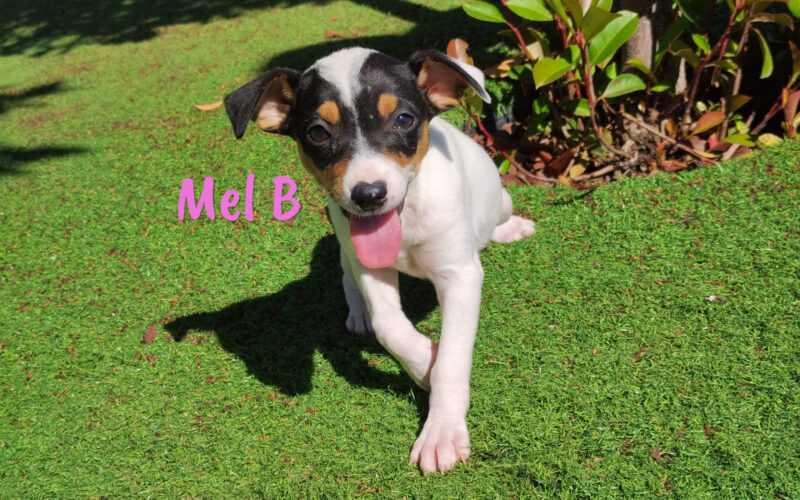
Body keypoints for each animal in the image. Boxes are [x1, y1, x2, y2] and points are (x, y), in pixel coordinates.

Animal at [224, 47, 535, 474]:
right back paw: (358, 313)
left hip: (501, 200)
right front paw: (425, 363)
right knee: (347, 275)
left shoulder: (460, 275)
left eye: (403, 119)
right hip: (342, 234)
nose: (369, 194)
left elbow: (453, 358)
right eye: (317, 132)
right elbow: (390, 326)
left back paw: (510, 229)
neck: (407, 217)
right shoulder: (370, 265)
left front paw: (441, 430)